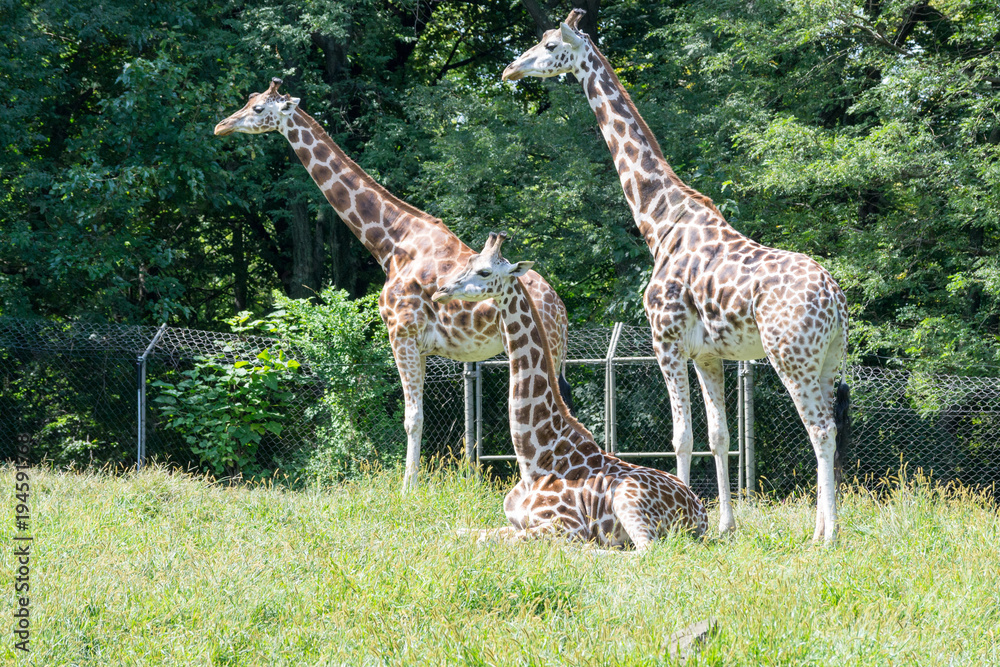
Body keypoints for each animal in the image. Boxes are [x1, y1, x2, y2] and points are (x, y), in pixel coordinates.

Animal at [214, 78, 572, 492]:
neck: (391, 241)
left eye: (258, 109)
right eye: (249, 100)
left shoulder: (401, 333)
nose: (221, 126)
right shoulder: (421, 344)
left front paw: (407, 490)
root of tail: (560, 308)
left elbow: (412, 417)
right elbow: (416, 415)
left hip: (542, 346)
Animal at [433, 232, 707, 551]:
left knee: (644, 549)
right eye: (468, 264)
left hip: (628, 498)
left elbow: (500, 539)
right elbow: (457, 532)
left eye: (484, 272)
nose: (441, 291)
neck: (534, 460)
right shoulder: (514, 521)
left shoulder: (566, 526)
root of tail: (701, 513)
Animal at [503, 10, 850, 542]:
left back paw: (825, 536)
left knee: (820, 430)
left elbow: (681, 436)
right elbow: (719, 436)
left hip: (792, 356)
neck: (660, 220)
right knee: (825, 428)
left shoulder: (663, 339)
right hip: (830, 357)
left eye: (548, 46)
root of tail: (834, 299)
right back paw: (820, 528)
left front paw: (687, 516)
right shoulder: (708, 353)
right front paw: (725, 525)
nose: (510, 70)